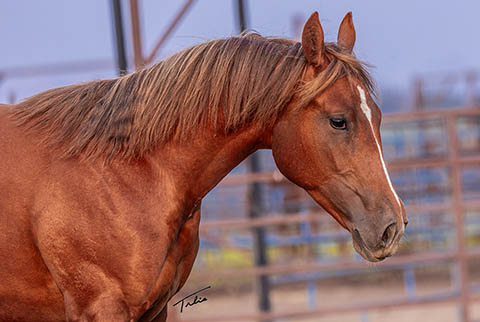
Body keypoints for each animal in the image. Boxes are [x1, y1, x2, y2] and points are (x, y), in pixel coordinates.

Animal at [0, 11, 408, 320]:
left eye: (379, 118)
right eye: (339, 121)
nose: (392, 226)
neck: (122, 172)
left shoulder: (155, 310)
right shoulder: (101, 309)